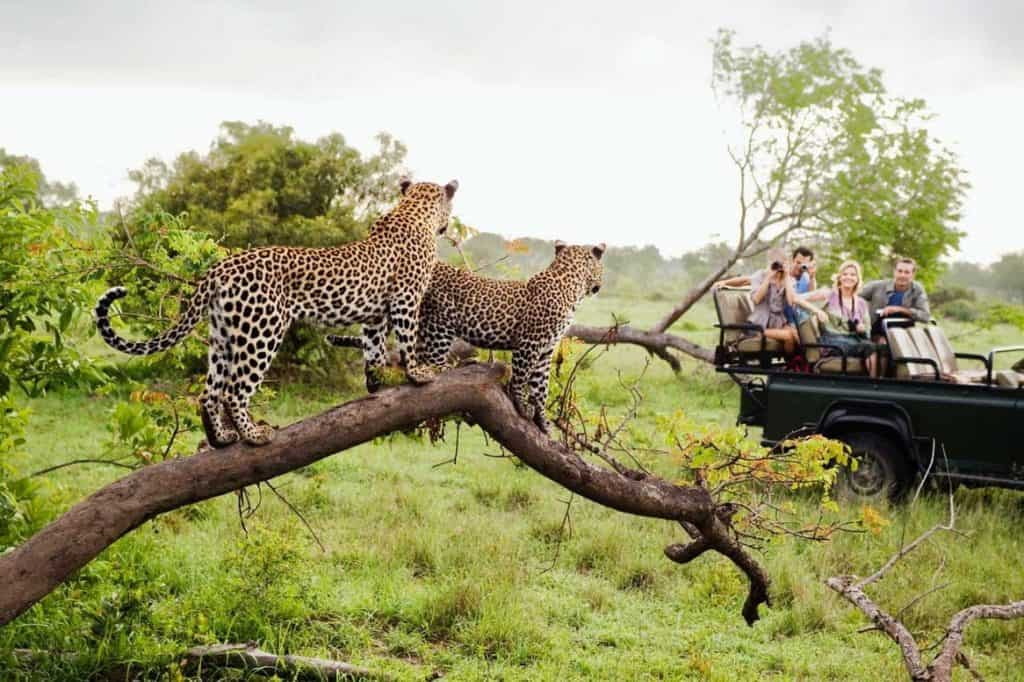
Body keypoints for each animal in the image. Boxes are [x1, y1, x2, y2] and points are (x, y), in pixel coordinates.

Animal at [94, 178, 458, 448]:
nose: (447, 226)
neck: (412, 211)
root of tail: (219, 268)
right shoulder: (406, 299)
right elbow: (407, 339)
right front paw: (418, 374)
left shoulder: (374, 314)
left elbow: (374, 349)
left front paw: (377, 382)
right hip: (262, 331)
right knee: (234, 391)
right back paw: (254, 435)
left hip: (223, 335)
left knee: (209, 392)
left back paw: (222, 438)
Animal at [325, 238, 598, 430]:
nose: (599, 285)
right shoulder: (529, 344)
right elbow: (521, 378)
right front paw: (521, 405)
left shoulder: (545, 350)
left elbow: (541, 386)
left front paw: (543, 421)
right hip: (440, 322)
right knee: (431, 362)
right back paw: (453, 367)